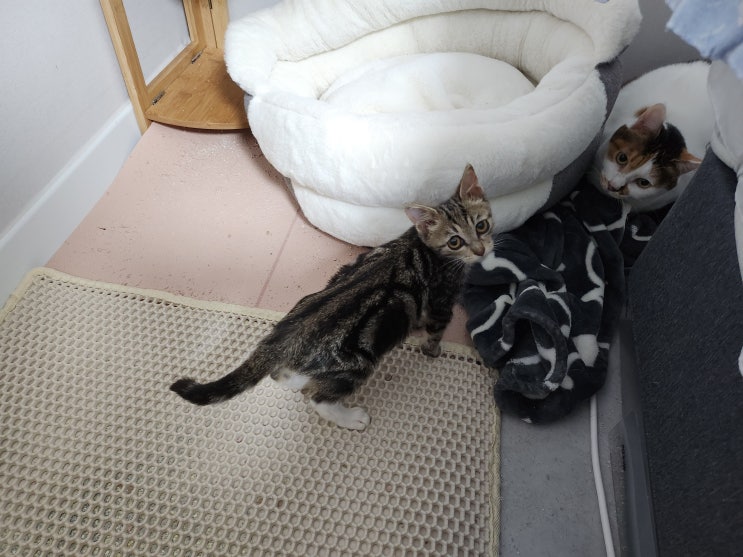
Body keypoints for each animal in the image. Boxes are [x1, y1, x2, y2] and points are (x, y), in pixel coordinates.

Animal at [170, 164, 494, 430]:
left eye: (482, 225)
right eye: (455, 241)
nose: (481, 250)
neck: (424, 246)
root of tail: (285, 338)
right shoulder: (442, 301)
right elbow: (435, 331)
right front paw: (433, 351)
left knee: (283, 376)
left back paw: (292, 378)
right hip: (356, 365)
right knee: (317, 397)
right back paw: (350, 418)